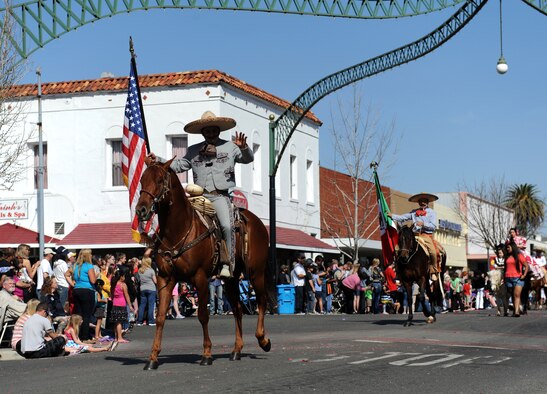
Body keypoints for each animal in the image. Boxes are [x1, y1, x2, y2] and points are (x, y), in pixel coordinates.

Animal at [136, 159, 272, 368]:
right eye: (142, 180)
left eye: (159, 180)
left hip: (256, 272)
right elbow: (159, 317)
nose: (141, 210)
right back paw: (236, 350)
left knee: (261, 302)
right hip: (231, 279)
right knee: (238, 309)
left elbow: (202, 315)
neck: (178, 230)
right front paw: (153, 357)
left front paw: (207, 354)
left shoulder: (199, 277)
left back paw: (263, 340)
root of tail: (256, 222)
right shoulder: (165, 278)